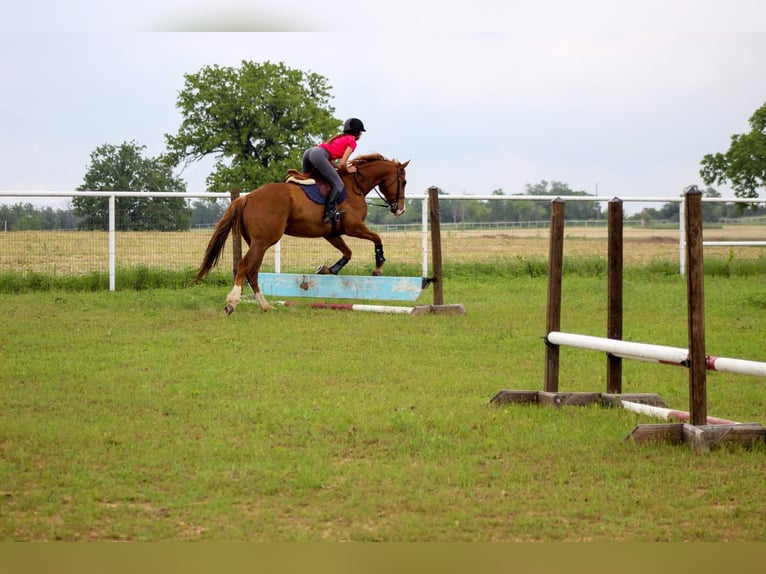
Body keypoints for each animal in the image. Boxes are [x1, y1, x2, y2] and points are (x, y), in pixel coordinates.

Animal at [191, 154, 412, 316]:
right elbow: (377, 239)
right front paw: (378, 266)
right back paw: (232, 302)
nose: (400, 210)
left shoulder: (332, 233)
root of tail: (248, 197)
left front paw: (328, 269)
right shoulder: (354, 227)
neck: (355, 186)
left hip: (259, 243)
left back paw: (265, 305)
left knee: (253, 272)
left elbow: (347, 253)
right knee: (245, 266)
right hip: (263, 241)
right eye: (404, 181)